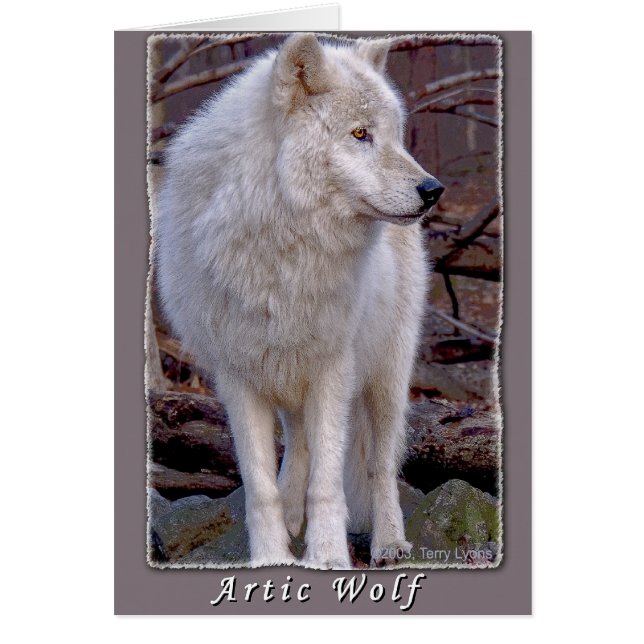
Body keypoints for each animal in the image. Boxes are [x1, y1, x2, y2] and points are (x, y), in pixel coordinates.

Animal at [154, 33, 444, 569]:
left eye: (393, 136)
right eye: (360, 134)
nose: (433, 190)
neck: (284, 249)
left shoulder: (334, 367)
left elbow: (328, 483)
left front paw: (327, 556)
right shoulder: (239, 377)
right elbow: (261, 486)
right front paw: (273, 554)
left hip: (386, 378)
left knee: (380, 466)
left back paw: (389, 543)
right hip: (289, 374)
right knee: (299, 445)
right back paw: (293, 516)